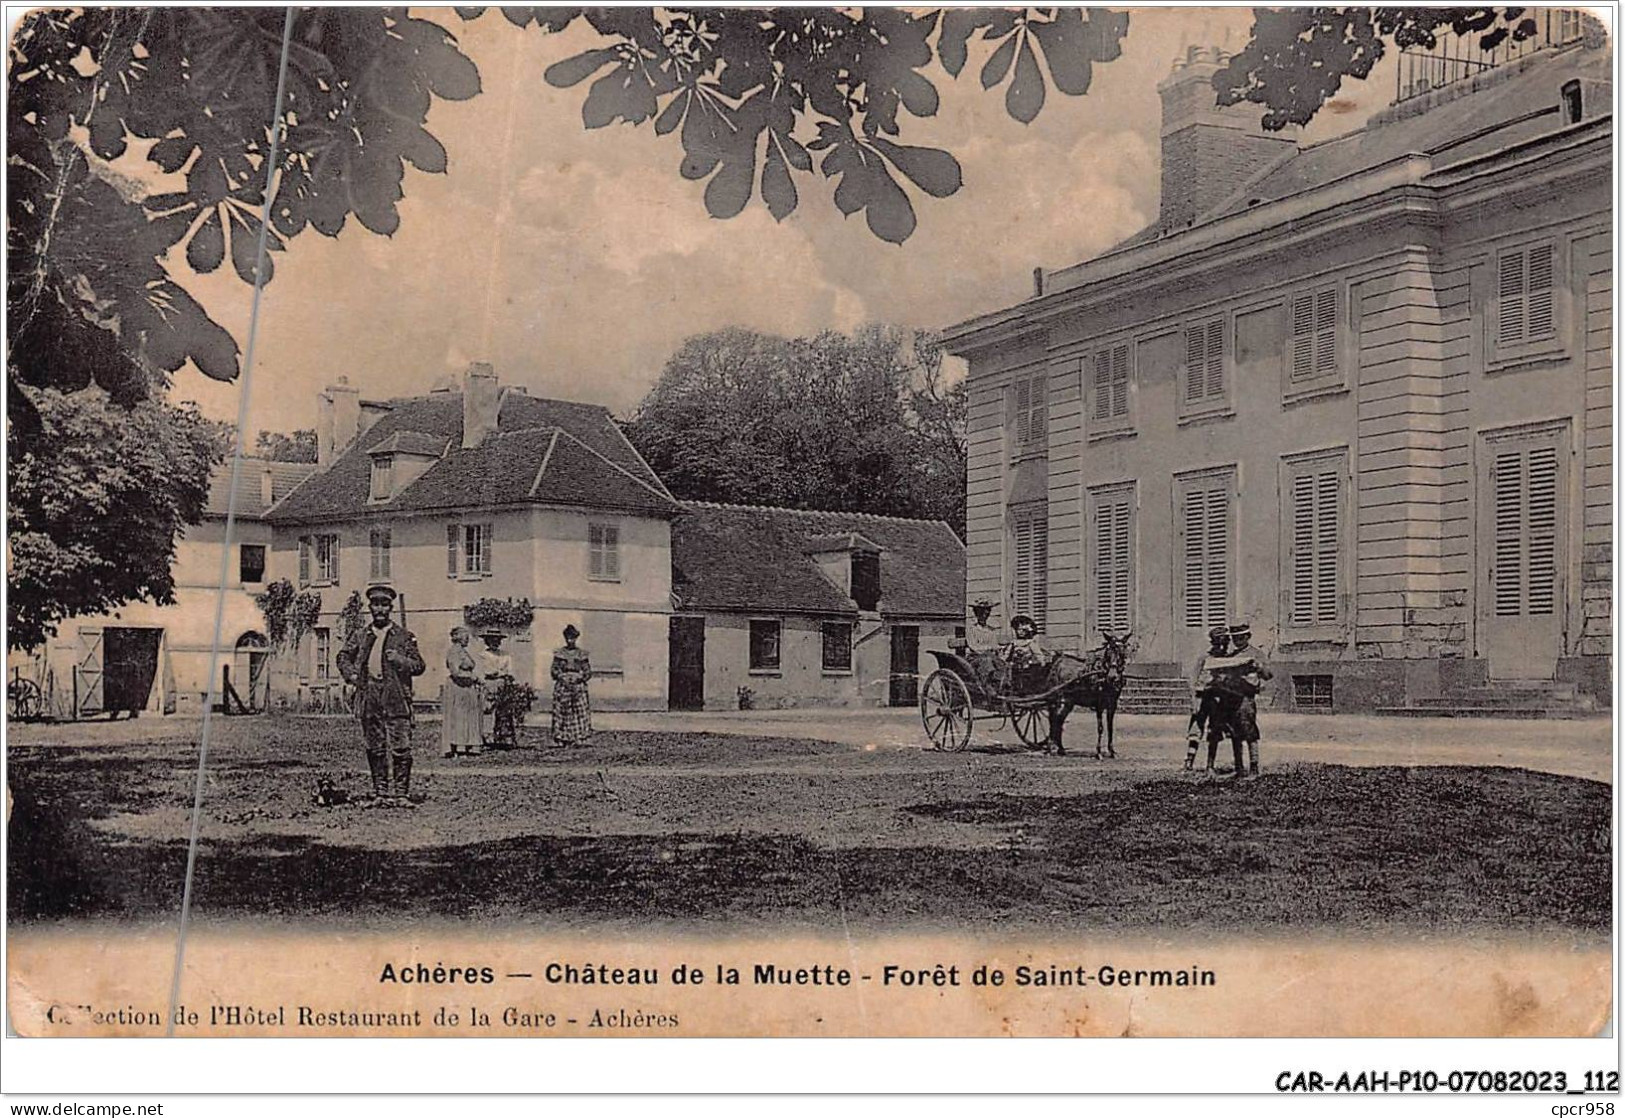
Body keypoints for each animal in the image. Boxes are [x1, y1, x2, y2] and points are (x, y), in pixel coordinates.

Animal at [1040, 630, 1131, 760]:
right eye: (1108, 652)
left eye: (1122, 652)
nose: (1112, 676)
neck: (1102, 674)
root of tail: (1058, 662)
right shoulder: (1099, 705)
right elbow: (1100, 728)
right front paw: (1098, 752)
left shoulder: (1112, 705)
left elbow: (1110, 727)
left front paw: (1112, 751)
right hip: (1059, 700)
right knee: (1054, 720)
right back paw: (1050, 748)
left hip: (1067, 702)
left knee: (1059, 721)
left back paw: (1060, 749)